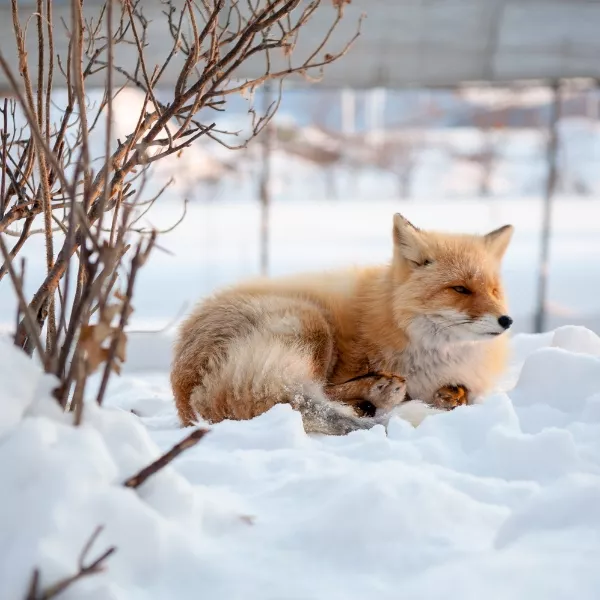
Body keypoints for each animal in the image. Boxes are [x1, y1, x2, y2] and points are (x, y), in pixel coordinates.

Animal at [171, 214, 512, 436]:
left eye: (494, 291)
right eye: (460, 289)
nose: (506, 321)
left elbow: (461, 392)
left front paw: (453, 395)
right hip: (313, 324)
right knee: (307, 392)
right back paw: (376, 394)